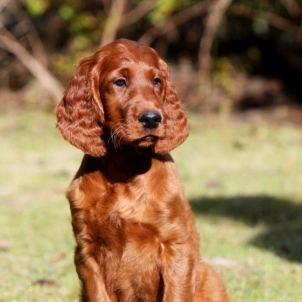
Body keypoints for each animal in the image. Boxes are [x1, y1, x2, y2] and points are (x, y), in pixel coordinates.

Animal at [54, 39, 229, 300]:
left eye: (157, 81)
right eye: (119, 82)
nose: (152, 118)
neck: (125, 168)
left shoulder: (177, 246)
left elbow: (175, 295)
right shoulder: (87, 251)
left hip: (210, 276)